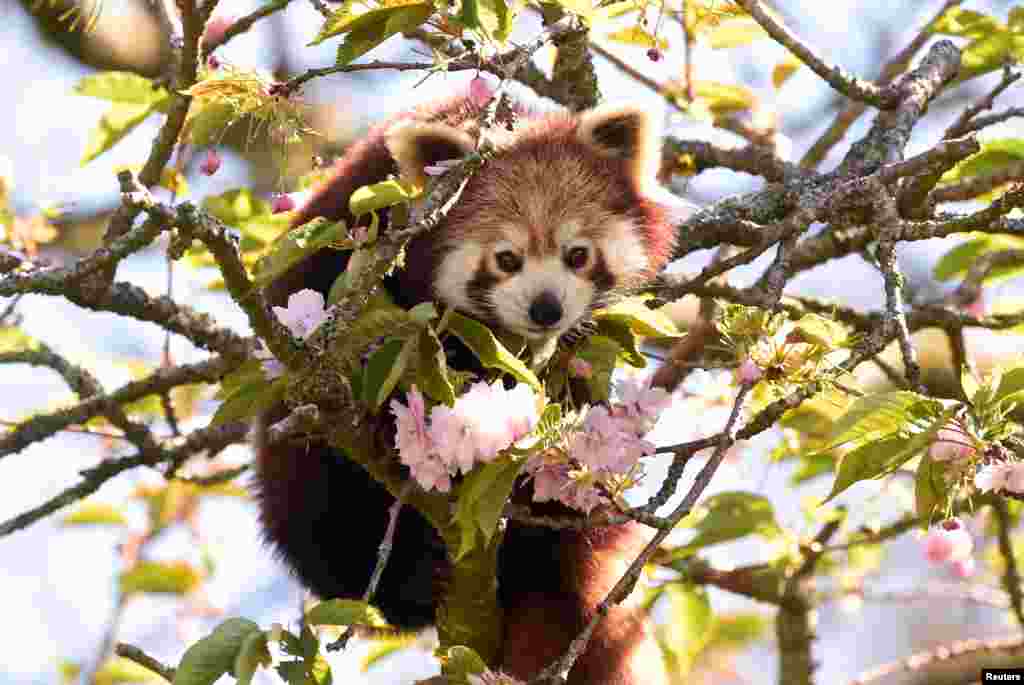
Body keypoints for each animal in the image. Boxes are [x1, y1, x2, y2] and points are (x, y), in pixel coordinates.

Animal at [252, 92, 675, 683]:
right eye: (506, 259)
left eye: (578, 255)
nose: (546, 308)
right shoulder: (350, 229)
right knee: (315, 514)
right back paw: (406, 579)